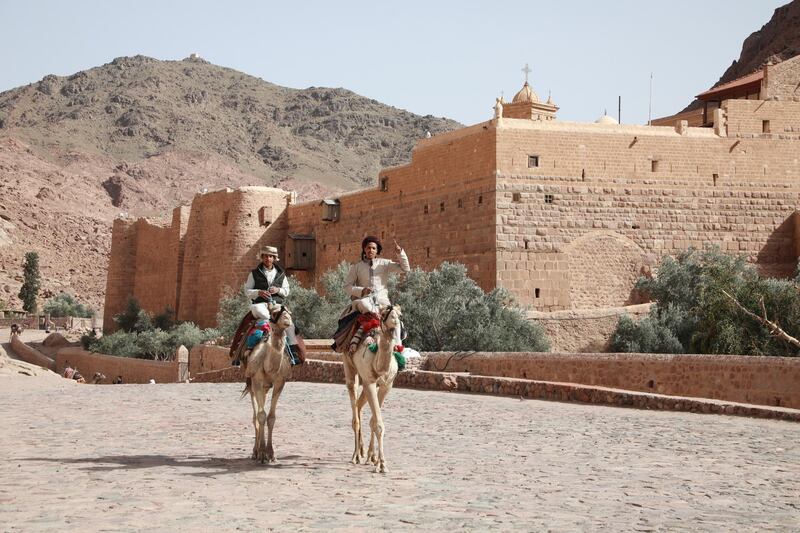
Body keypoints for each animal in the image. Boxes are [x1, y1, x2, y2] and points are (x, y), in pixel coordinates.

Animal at [244, 304, 296, 462]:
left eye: (290, 312)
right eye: (274, 313)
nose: (287, 319)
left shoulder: (280, 382)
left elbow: (271, 417)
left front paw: (270, 453)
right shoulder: (257, 380)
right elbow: (261, 415)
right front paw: (261, 453)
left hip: (266, 387)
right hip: (251, 383)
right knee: (255, 415)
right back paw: (255, 452)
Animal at [342, 306, 404, 472]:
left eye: (399, 315)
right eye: (384, 315)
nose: (395, 321)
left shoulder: (387, 385)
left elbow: (374, 421)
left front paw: (373, 458)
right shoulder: (370, 382)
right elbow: (378, 424)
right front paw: (382, 464)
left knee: (359, 405)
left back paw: (363, 453)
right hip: (349, 366)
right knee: (355, 412)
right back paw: (355, 455)